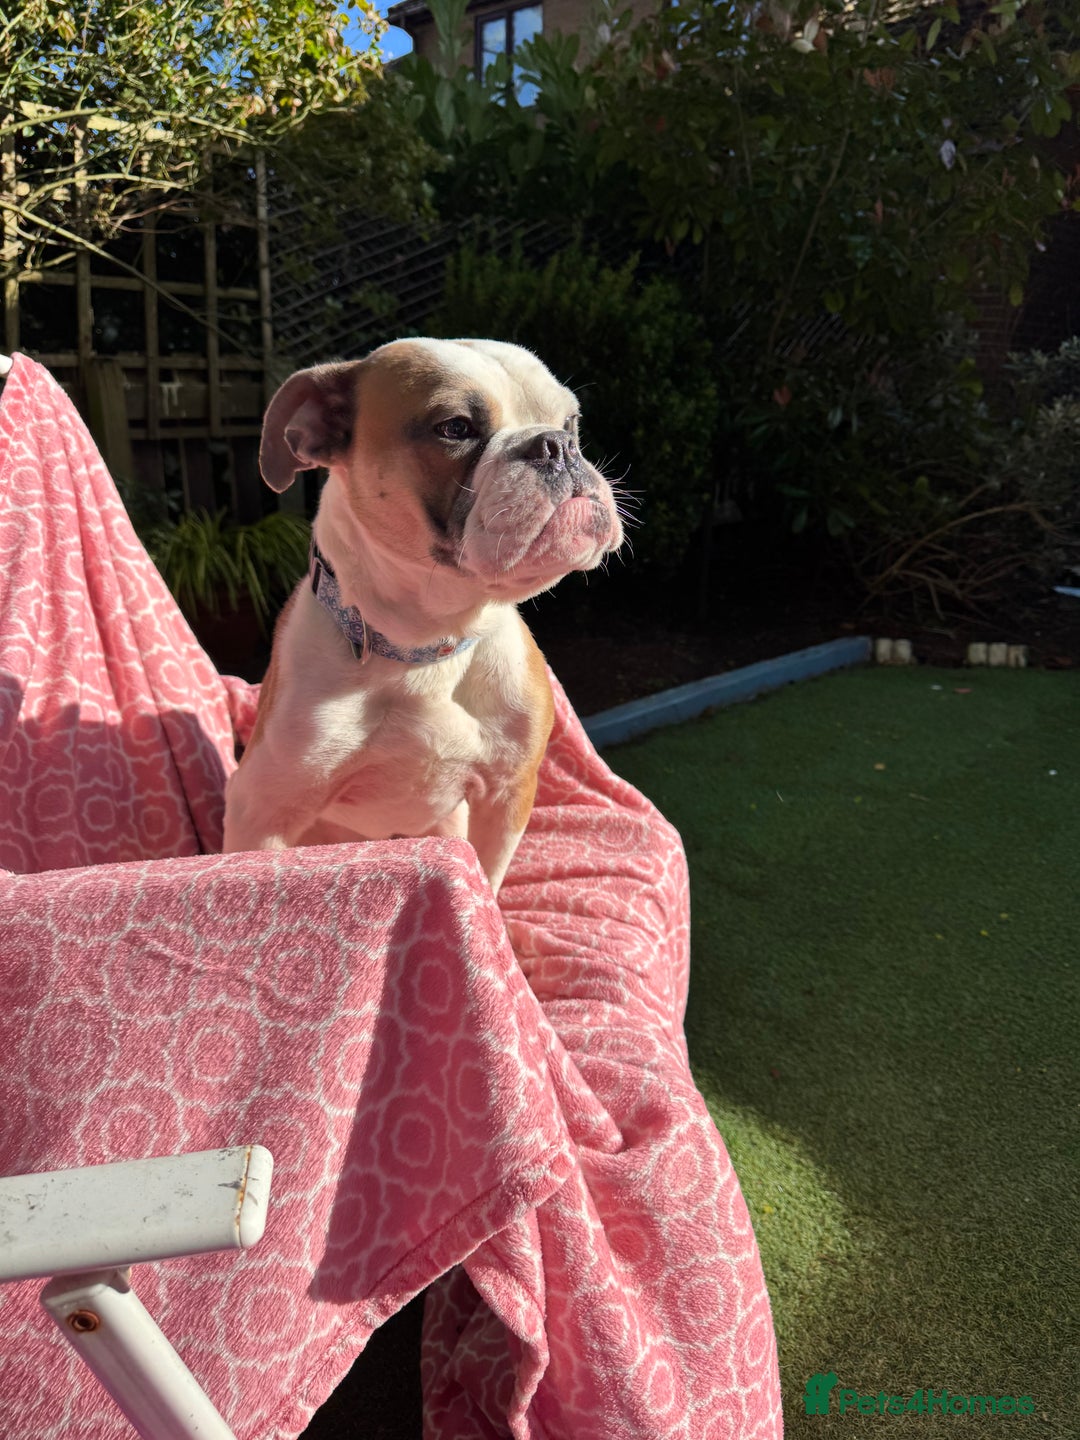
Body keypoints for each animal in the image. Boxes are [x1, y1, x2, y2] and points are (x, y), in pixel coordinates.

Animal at [222, 338, 624, 893]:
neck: (431, 643)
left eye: (571, 422)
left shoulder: (507, 795)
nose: (558, 445)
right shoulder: (261, 814)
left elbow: (488, 880)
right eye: (455, 427)